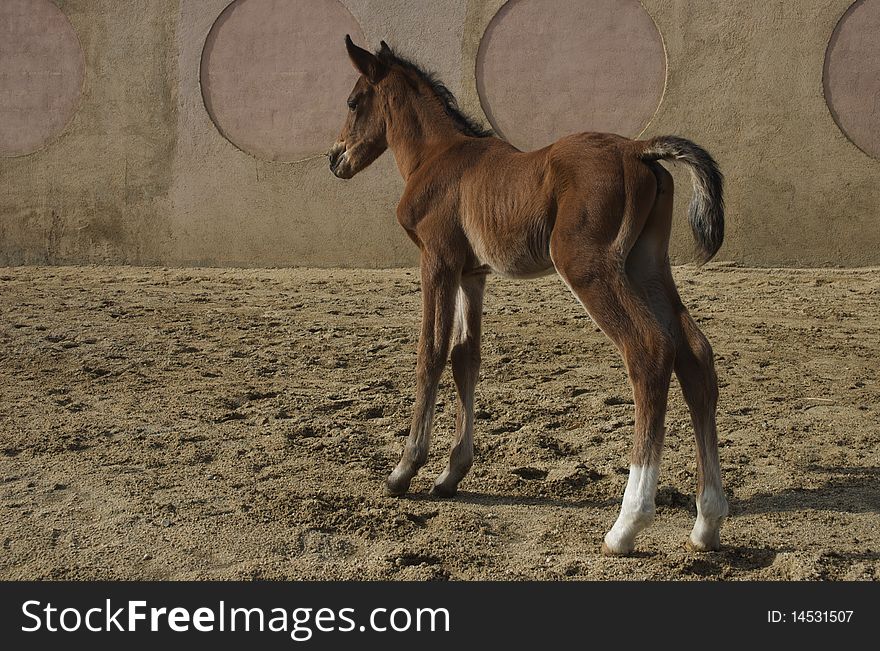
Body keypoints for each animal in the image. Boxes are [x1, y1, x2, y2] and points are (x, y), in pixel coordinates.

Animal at [330, 37, 728, 556]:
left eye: (353, 102)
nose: (334, 159)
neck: (437, 156)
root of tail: (638, 149)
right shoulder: (473, 274)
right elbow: (466, 357)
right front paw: (450, 475)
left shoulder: (437, 261)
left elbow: (430, 352)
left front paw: (404, 469)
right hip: (646, 265)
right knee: (695, 354)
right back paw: (707, 521)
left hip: (587, 265)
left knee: (649, 350)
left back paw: (626, 525)